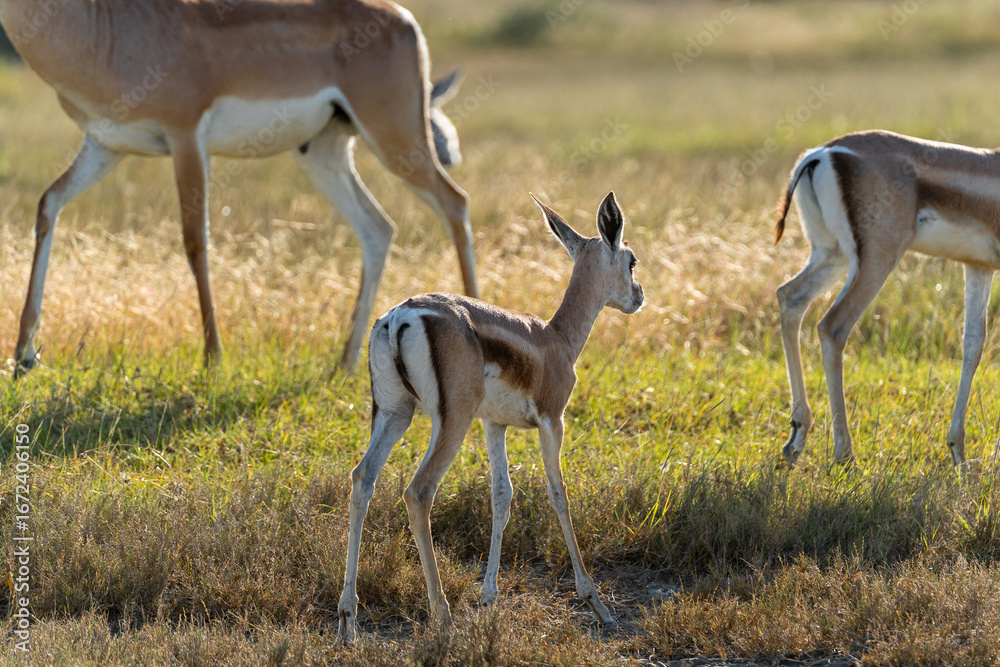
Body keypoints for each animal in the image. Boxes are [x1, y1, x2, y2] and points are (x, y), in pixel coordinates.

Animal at [2, 0, 477, 376]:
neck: (108, 31)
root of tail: (402, 17)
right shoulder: (106, 146)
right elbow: (48, 204)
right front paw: (24, 353)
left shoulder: (186, 139)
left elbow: (195, 240)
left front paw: (213, 356)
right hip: (323, 152)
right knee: (377, 228)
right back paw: (344, 364)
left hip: (396, 138)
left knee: (454, 203)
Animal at [336, 192, 643, 643]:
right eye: (631, 259)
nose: (639, 296)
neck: (556, 340)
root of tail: (399, 317)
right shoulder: (553, 421)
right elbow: (559, 494)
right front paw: (597, 604)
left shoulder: (493, 425)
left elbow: (502, 495)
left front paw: (488, 597)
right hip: (451, 422)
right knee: (418, 491)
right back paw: (443, 616)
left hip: (395, 414)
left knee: (363, 478)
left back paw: (348, 618)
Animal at [775, 129, 1000, 467]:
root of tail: (822, 153)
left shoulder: (978, 266)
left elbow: (973, 344)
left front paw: (958, 453)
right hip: (876, 261)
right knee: (832, 327)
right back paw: (846, 456)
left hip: (832, 254)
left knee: (789, 298)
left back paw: (796, 438)